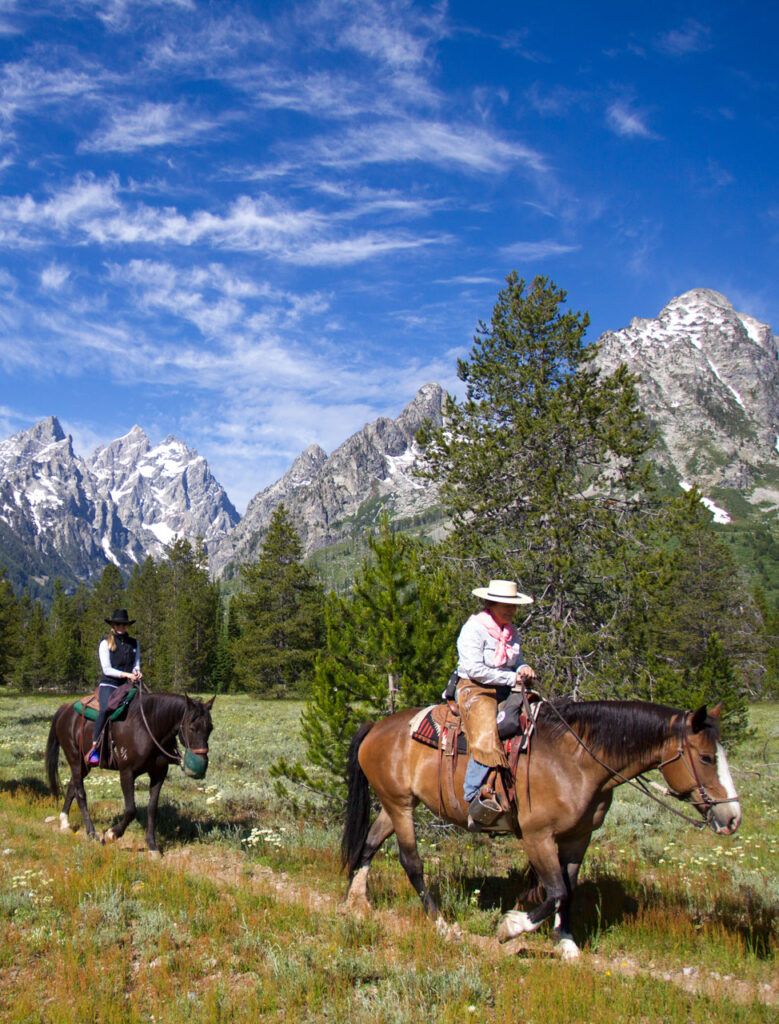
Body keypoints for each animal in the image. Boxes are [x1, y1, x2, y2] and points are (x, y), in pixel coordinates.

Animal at [45, 692, 215, 851]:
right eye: (192, 728)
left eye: (210, 729)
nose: (201, 766)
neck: (148, 727)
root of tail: (66, 708)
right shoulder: (126, 772)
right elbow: (131, 809)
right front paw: (112, 834)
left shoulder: (159, 773)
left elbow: (152, 808)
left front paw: (152, 846)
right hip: (75, 760)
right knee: (80, 794)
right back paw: (92, 833)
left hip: (84, 766)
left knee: (72, 787)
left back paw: (65, 822)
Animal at [341, 696, 741, 958]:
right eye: (707, 757)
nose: (733, 817)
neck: (577, 761)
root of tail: (377, 726)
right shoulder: (538, 836)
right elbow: (555, 891)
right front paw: (511, 928)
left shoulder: (579, 837)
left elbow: (569, 887)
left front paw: (565, 942)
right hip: (401, 805)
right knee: (412, 863)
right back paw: (440, 924)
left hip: (394, 804)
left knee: (369, 845)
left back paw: (355, 903)